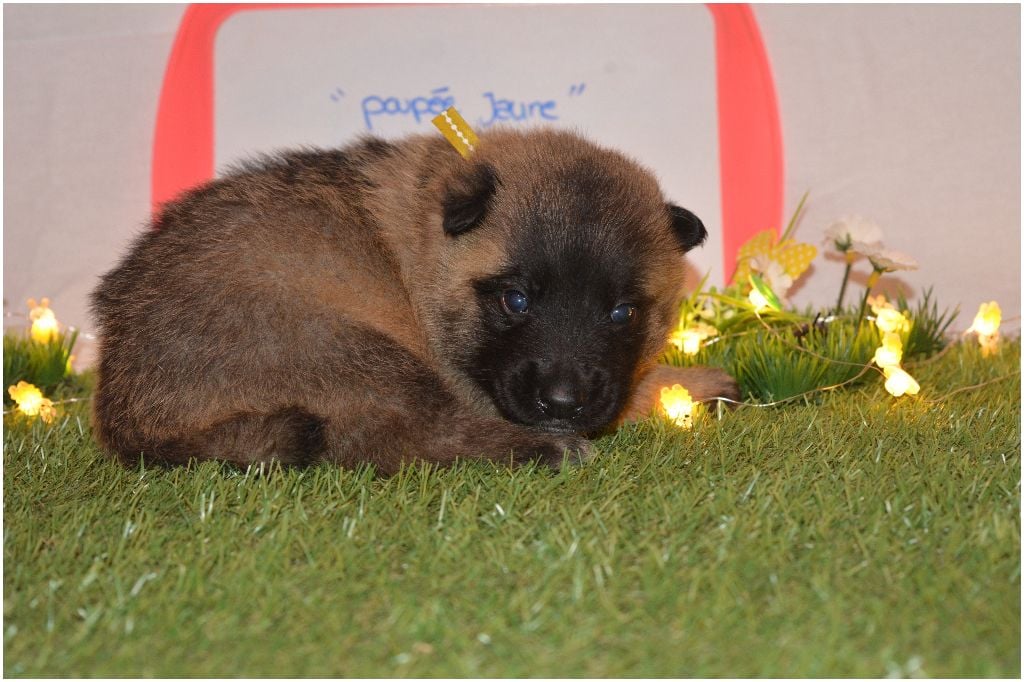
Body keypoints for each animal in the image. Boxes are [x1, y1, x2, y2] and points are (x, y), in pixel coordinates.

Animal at [91, 128, 739, 474]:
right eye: (516, 300)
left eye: (622, 313)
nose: (562, 402)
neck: (423, 252)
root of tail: (128, 412)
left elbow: (632, 387)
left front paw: (692, 384)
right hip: (339, 344)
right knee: (394, 437)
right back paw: (544, 449)